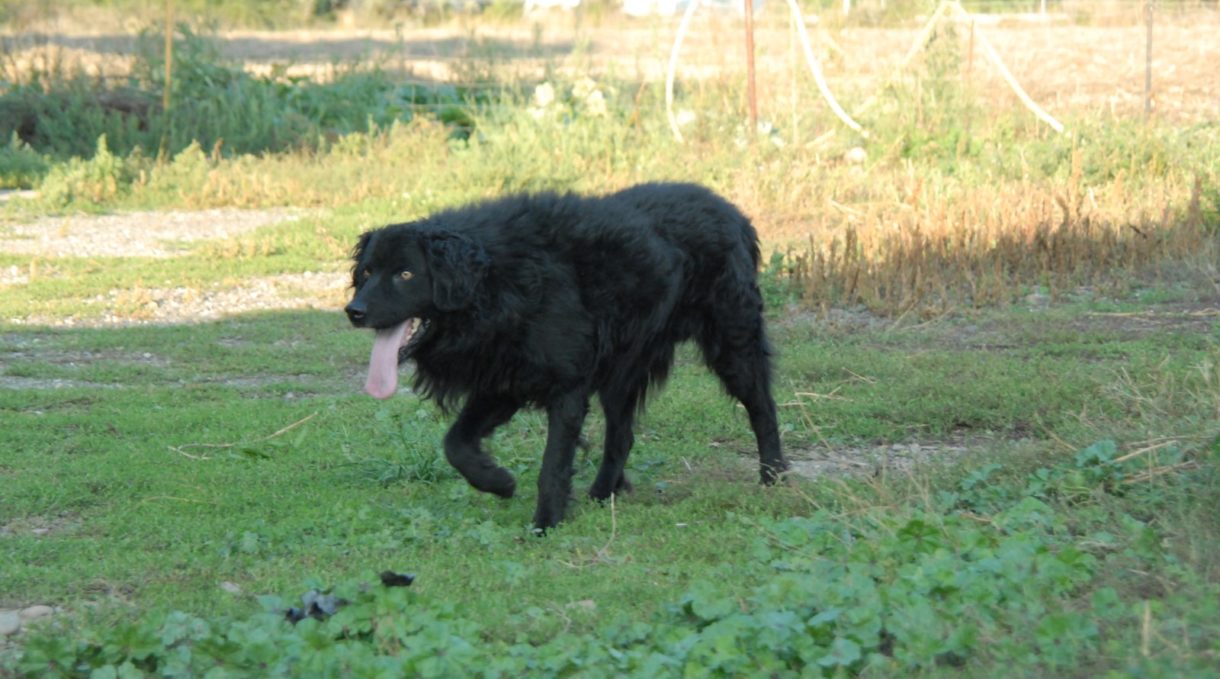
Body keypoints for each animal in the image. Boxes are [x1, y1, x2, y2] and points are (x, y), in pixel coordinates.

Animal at [351, 181, 790, 529]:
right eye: (367, 272)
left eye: (406, 274)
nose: (353, 311)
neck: (497, 282)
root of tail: (734, 213)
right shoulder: (503, 382)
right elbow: (455, 443)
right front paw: (498, 481)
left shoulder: (566, 388)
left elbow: (553, 465)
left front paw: (546, 524)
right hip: (622, 373)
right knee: (622, 437)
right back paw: (602, 494)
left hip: (733, 343)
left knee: (763, 409)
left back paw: (774, 477)